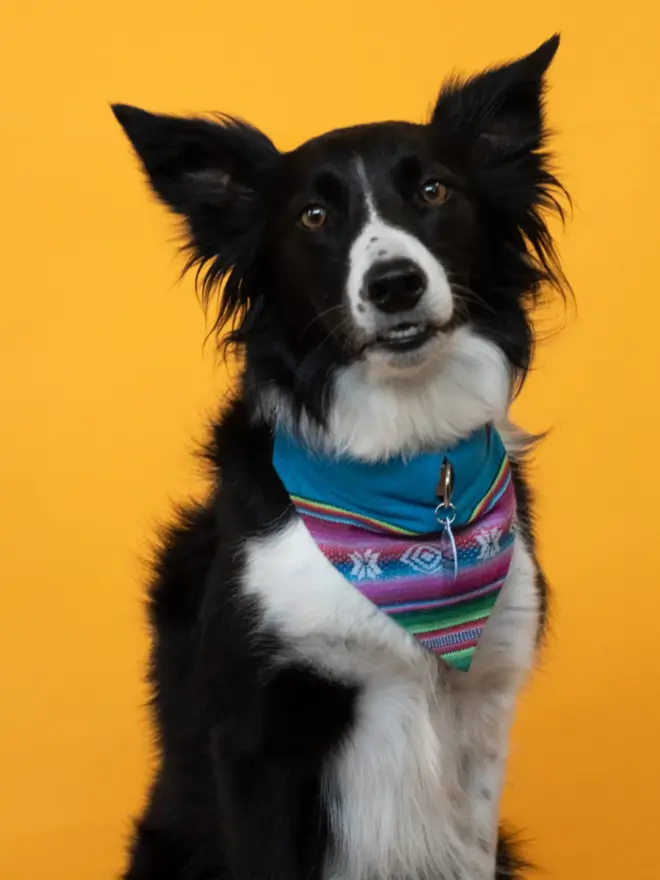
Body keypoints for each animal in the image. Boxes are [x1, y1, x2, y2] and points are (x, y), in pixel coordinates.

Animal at [113, 32, 568, 880]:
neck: (408, 468)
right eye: (315, 215)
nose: (395, 284)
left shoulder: (484, 719)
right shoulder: (256, 736)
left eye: (434, 191)